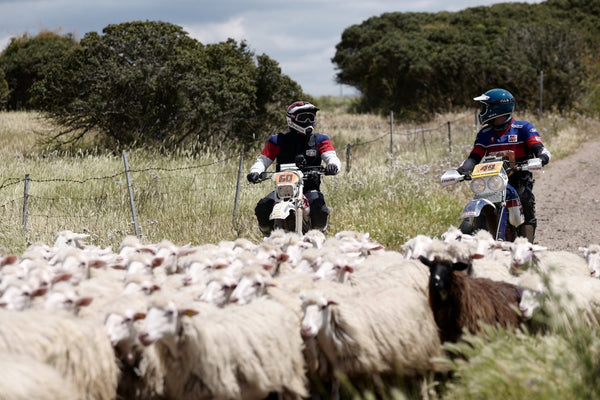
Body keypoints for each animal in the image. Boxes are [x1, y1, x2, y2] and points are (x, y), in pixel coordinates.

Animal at [138, 294, 308, 400]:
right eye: (147, 312)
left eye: (170, 312)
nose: (143, 335)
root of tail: (271, 302)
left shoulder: (224, 392)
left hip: (291, 377)